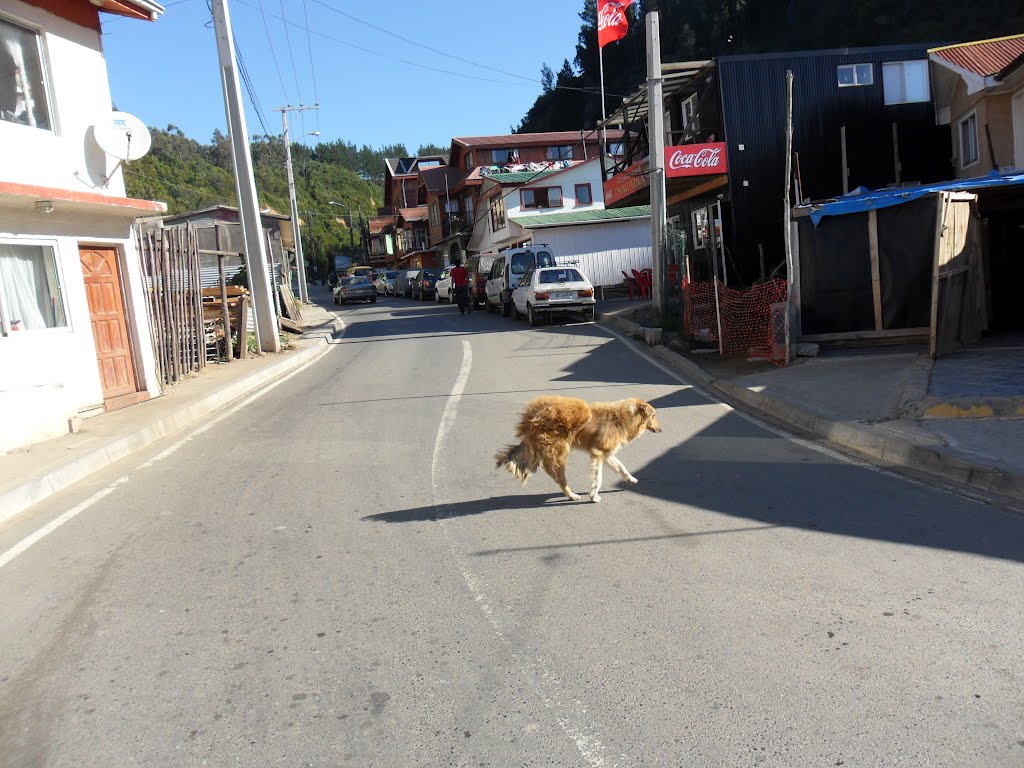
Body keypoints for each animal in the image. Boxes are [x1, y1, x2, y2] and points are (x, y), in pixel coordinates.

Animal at [495, 397, 663, 505]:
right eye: (654, 415)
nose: (661, 430)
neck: (622, 417)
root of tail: (531, 420)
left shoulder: (606, 454)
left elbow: (621, 466)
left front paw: (631, 479)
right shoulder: (598, 453)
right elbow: (598, 478)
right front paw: (593, 496)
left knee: (550, 471)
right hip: (560, 453)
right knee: (559, 478)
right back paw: (572, 496)